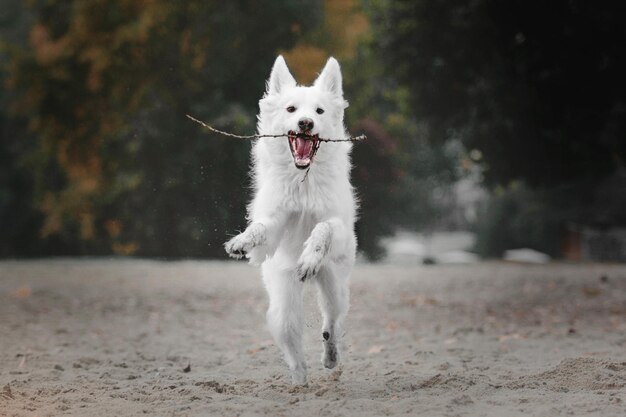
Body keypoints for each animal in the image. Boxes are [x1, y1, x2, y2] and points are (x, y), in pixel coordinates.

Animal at [224, 55, 356, 384]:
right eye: (291, 109)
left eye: (319, 111)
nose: (305, 123)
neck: (302, 180)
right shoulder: (274, 225)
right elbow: (260, 228)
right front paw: (242, 240)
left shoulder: (339, 228)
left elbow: (322, 228)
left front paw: (309, 257)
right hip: (282, 304)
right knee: (292, 345)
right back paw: (300, 382)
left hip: (333, 287)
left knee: (331, 324)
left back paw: (330, 357)